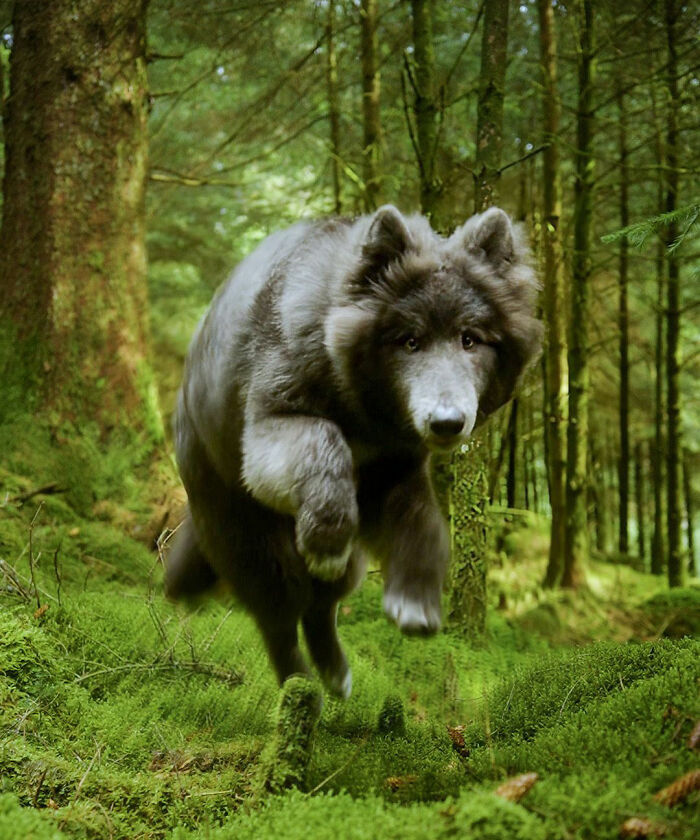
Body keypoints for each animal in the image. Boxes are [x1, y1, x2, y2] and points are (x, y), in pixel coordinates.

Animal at [165, 205, 541, 698]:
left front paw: (415, 602)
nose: (447, 422)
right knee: (278, 617)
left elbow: (424, 525)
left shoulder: (393, 469)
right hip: (244, 535)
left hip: (340, 568)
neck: (362, 408)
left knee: (320, 608)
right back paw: (300, 687)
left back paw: (336, 676)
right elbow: (325, 445)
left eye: (470, 339)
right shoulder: (271, 430)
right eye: (410, 341)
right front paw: (326, 539)